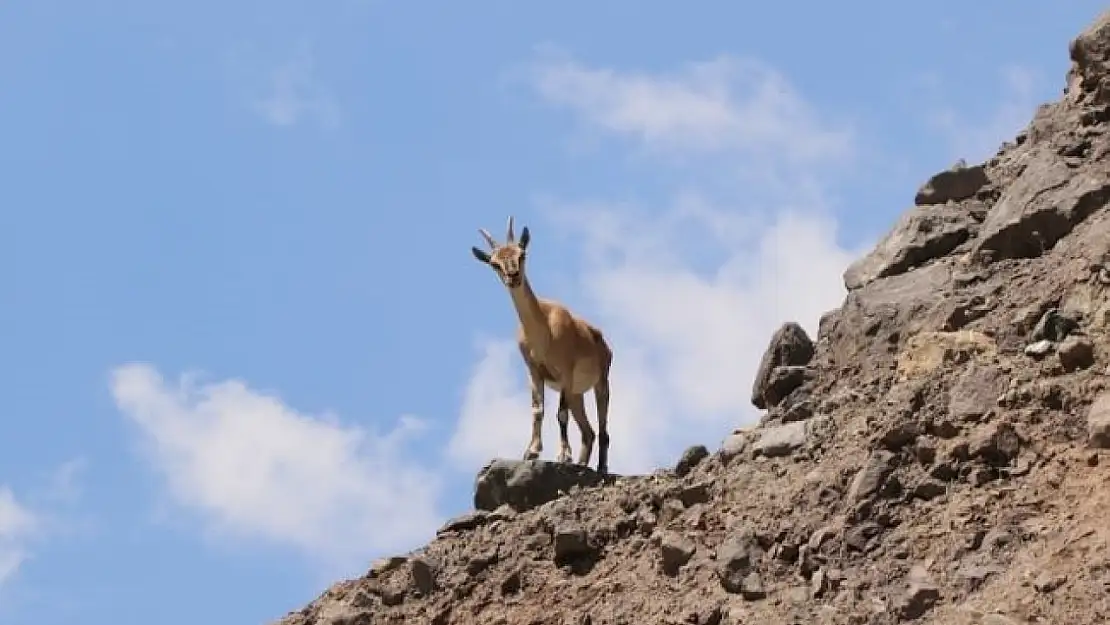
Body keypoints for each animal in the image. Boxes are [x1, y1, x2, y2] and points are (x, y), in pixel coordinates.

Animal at [470, 216, 617, 475]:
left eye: (522, 254)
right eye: (494, 263)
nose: (513, 275)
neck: (544, 333)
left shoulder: (566, 372)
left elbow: (560, 414)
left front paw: (563, 455)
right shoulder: (534, 372)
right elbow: (538, 410)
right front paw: (532, 451)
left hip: (601, 383)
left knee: (602, 429)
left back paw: (601, 467)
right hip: (577, 394)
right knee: (588, 432)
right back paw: (582, 464)